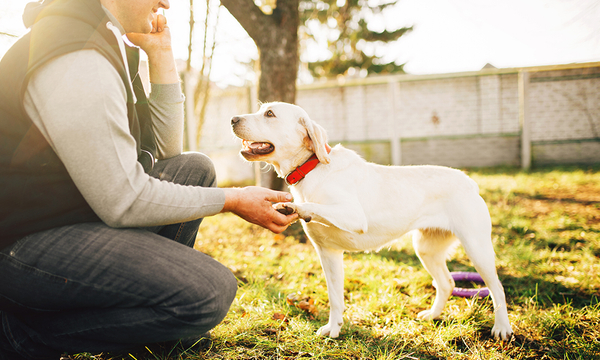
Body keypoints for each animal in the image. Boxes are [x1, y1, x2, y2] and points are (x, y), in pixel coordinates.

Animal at [232, 102, 512, 340]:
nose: (233, 119)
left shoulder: (353, 216)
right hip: (426, 250)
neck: (312, 168)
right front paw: (334, 329)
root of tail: (469, 181)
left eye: (270, 114)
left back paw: (502, 329)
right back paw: (432, 315)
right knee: (446, 283)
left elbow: (313, 206)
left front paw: (294, 207)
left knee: (497, 288)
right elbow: (335, 297)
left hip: (477, 249)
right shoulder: (328, 253)